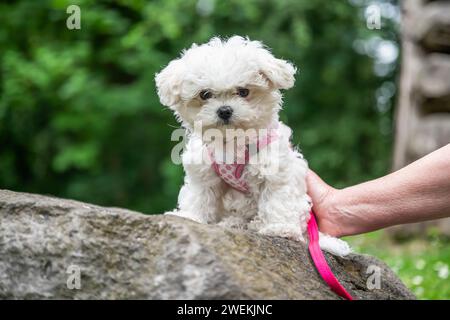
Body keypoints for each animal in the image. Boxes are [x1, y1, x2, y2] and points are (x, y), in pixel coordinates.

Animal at [156, 36, 350, 256]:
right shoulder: (204, 172)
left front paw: (280, 228)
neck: (232, 140)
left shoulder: (275, 171)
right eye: (205, 94)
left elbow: (278, 199)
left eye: (244, 92)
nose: (224, 110)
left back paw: (256, 224)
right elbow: (199, 195)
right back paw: (234, 223)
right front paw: (190, 216)